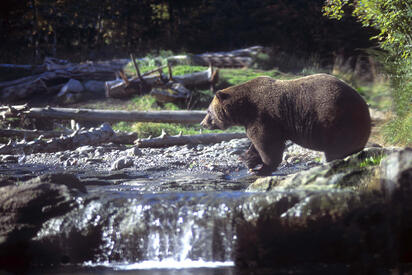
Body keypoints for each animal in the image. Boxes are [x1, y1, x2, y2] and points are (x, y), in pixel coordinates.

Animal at [201, 74, 372, 176]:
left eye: (208, 111)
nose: (203, 123)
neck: (244, 109)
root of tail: (364, 104)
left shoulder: (264, 117)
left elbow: (267, 144)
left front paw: (261, 169)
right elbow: (257, 144)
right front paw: (247, 159)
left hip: (337, 121)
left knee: (336, 149)